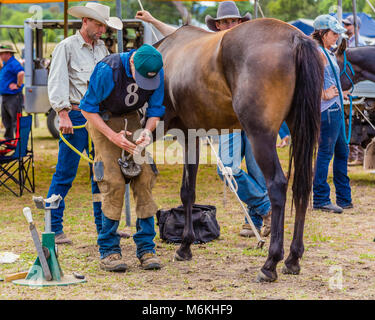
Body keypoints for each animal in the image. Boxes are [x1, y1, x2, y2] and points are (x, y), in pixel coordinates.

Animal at [154, 18, 324, 282]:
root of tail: (297, 38)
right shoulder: (192, 136)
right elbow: (188, 191)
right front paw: (185, 245)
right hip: (300, 130)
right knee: (302, 186)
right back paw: (293, 258)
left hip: (261, 136)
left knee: (277, 185)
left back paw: (270, 263)